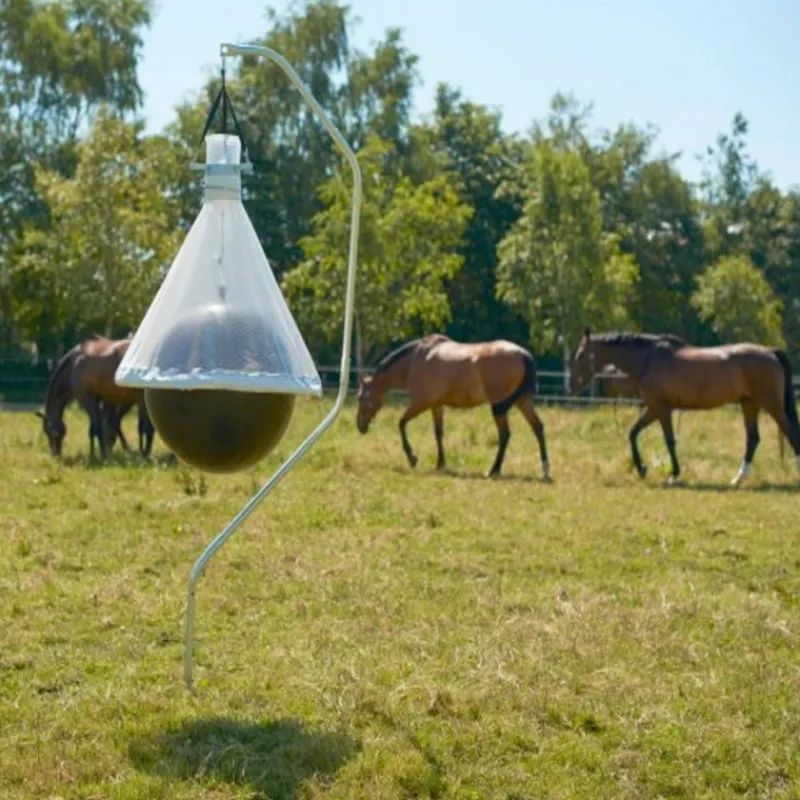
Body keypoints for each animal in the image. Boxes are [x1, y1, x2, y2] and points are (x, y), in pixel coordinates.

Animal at [356, 334, 550, 479]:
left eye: (361, 398)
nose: (360, 426)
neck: (417, 359)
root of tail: (523, 355)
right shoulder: (436, 405)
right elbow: (438, 433)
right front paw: (440, 463)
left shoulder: (420, 403)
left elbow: (401, 423)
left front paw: (412, 458)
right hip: (523, 402)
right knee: (538, 428)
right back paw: (545, 470)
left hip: (499, 406)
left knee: (505, 435)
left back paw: (494, 469)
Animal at [569, 328, 800, 486]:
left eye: (580, 355)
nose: (571, 386)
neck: (649, 359)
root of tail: (770, 352)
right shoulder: (654, 408)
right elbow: (633, 433)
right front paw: (642, 469)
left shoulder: (661, 409)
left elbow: (669, 441)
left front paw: (673, 474)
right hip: (749, 404)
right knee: (753, 439)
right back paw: (738, 478)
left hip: (771, 404)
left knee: (790, 432)